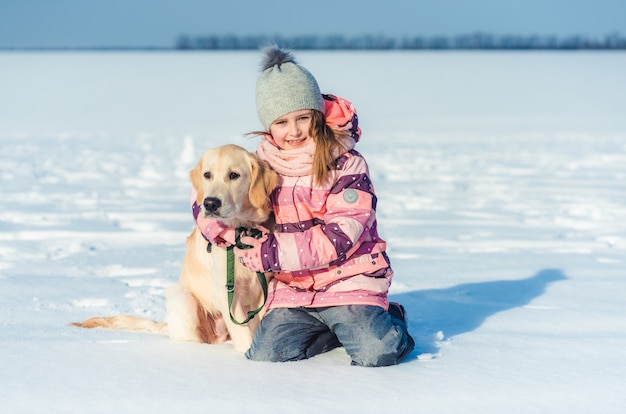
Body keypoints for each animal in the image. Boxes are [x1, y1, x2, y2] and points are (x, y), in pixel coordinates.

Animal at [73, 146, 276, 352]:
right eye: (207, 175)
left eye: (234, 175)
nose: (210, 203)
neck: (241, 232)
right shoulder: (225, 293)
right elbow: (243, 334)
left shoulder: (262, 290)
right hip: (182, 298)